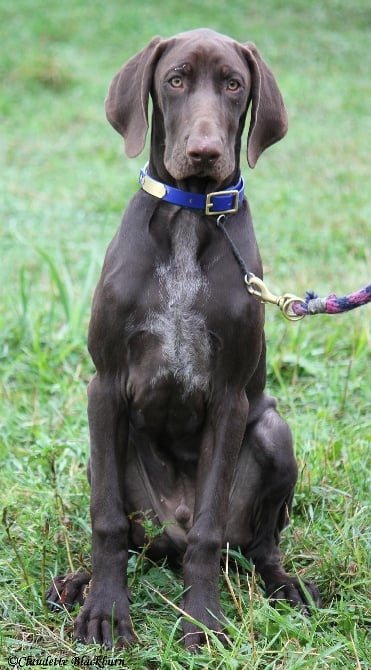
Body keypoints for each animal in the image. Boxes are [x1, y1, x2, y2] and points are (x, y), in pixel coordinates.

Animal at [47, 27, 320, 652]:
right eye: (175, 80)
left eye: (234, 85)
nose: (204, 152)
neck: (190, 217)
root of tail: (168, 530)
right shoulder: (105, 385)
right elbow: (106, 520)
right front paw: (105, 610)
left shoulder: (229, 399)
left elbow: (210, 534)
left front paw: (203, 618)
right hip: (111, 461)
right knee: (130, 537)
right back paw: (77, 583)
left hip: (271, 430)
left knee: (254, 544)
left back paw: (284, 585)